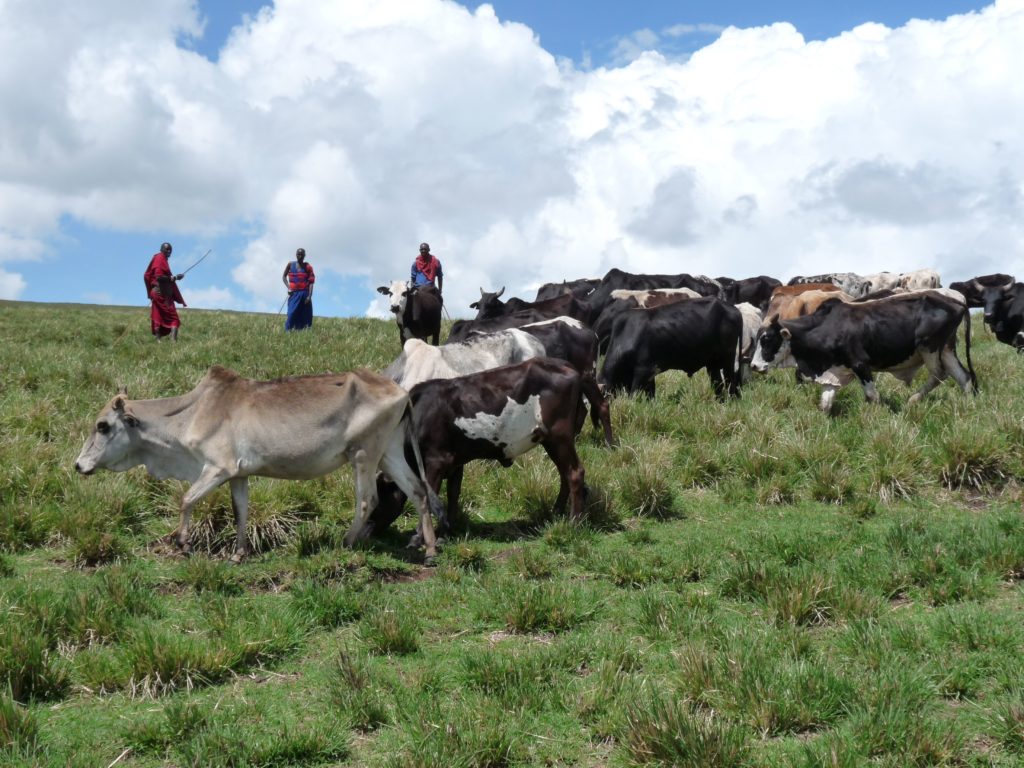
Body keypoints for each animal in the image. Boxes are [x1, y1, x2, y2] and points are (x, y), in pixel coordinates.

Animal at [72, 366, 440, 565]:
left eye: (102, 426)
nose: (78, 465)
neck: (190, 414)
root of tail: (402, 391)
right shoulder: (239, 474)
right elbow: (241, 511)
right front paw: (238, 553)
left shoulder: (217, 468)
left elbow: (186, 499)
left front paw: (184, 542)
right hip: (389, 452)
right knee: (418, 492)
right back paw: (430, 549)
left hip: (364, 453)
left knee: (368, 500)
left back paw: (347, 541)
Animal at [368, 358, 598, 536]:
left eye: (375, 501)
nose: (364, 534)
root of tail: (570, 367)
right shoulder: (454, 461)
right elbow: (453, 493)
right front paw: (447, 530)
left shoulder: (435, 462)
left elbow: (429, 495)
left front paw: (420, 535)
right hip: (553, 441)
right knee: (564, 474)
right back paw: (556, 513)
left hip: (559, 437)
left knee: (574, 473)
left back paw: (574, 523)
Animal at [598, 296, 745, 399]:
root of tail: (733, 309)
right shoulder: (650, 374)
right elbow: (651, 395)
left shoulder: (643, 370)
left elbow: (634, 395)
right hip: (712, 363)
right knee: (717, 384)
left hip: (728, 358)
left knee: (730, 382)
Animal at [753, 290, 974, 411]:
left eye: (767, 338)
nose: (754, 366)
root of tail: (956, 302)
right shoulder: (833, 373)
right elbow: (825, 404)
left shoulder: (860, 364)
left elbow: (872, 396)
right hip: (946, 350)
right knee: (964, 377)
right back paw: (969, 406)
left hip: (929, 347)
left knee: (939, 375)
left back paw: (913, 400)